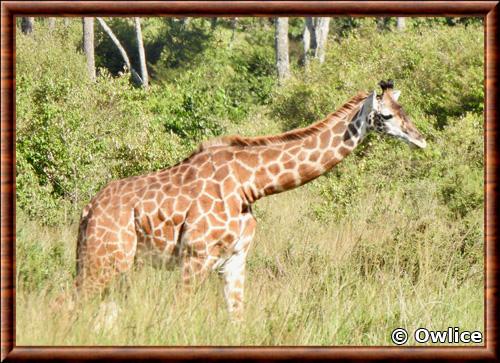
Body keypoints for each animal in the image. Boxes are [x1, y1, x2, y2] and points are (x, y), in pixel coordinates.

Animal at [74, 79, 426, 318]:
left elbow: (237, 318)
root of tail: (88, 210)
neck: (251, 184)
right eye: (387, 116)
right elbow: (178, 313)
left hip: (109, 263)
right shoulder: (195, 256)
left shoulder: (235, 259)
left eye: (403, 111)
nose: (421, 139)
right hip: (106, 260)